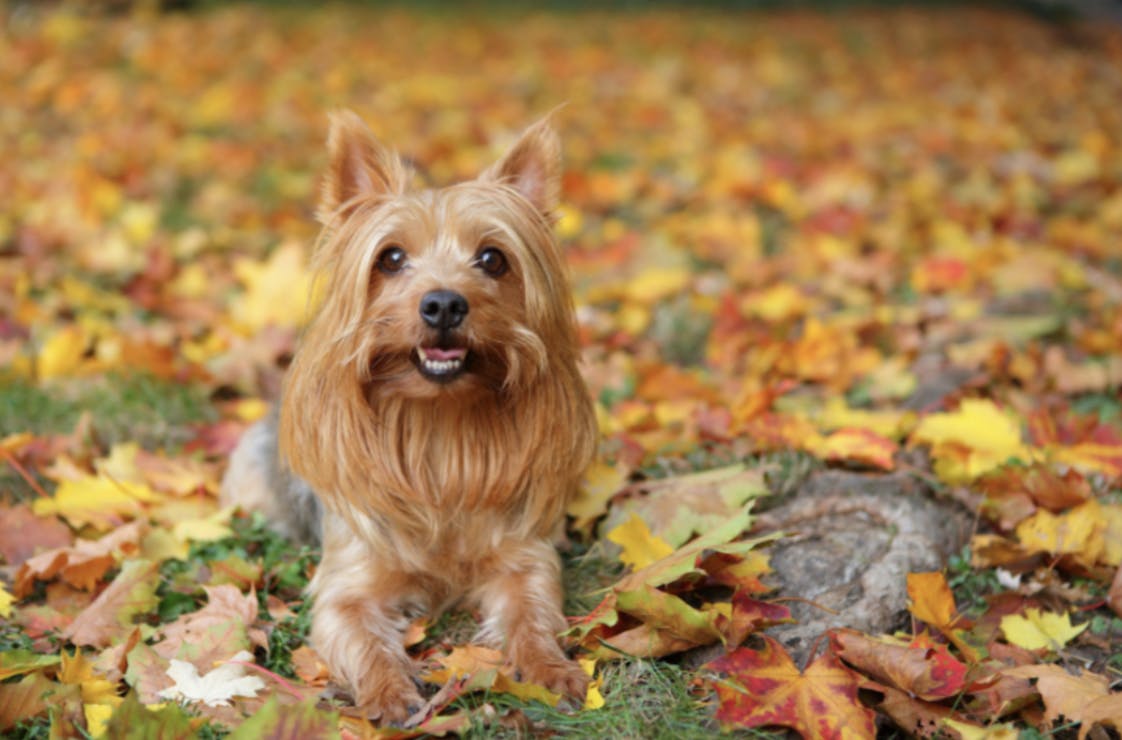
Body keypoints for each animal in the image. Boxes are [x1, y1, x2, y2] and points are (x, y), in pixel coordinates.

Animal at [222, 111, 601, 722]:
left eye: (493, 258)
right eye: (391, 258)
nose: (443, 303)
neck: (437, 425)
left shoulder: (523, 558)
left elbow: (532, 612)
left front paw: (550, 668)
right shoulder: (348, 584)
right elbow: (360, 635)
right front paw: (388, 691)